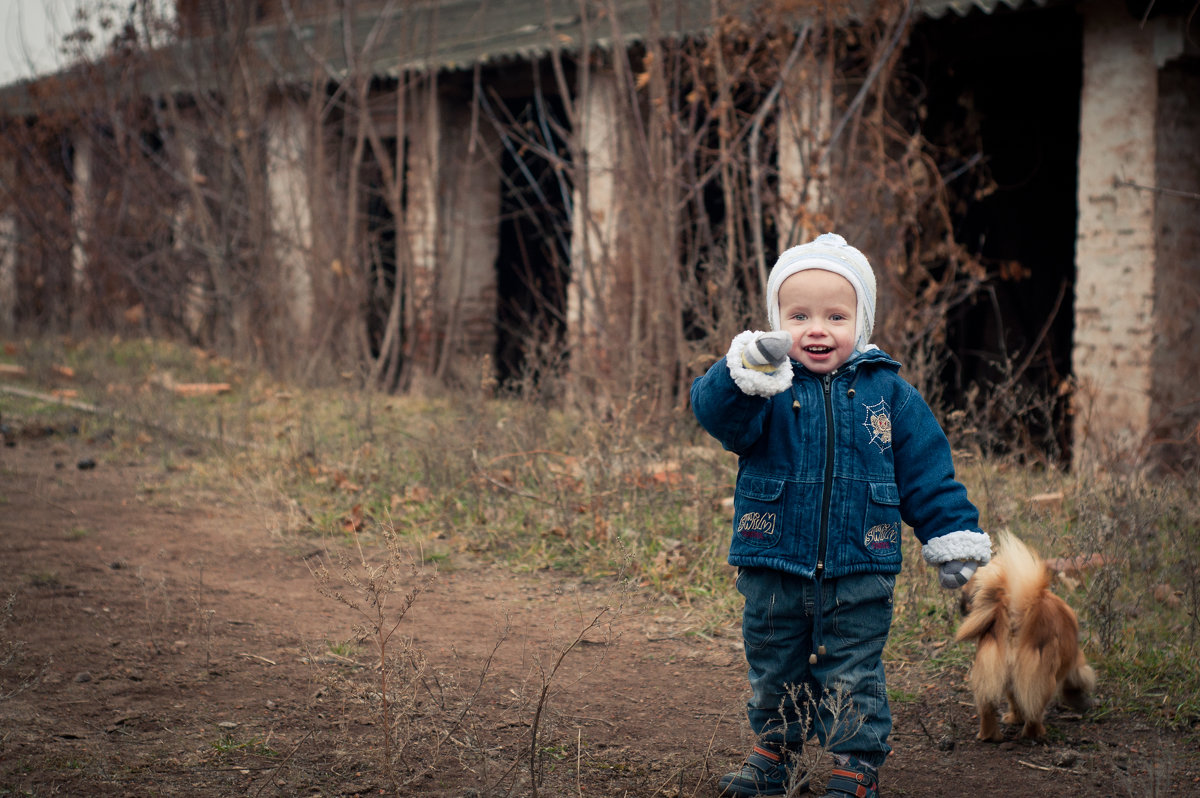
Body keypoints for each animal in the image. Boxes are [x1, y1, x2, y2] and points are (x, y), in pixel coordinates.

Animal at [955, 532, 1099, 739]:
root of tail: (1016, 616)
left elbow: (1015, 700)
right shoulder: (1074, 661)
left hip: (989, 673)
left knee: (988, 707)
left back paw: (990, 735)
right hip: (1042, 680)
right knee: (1034, 712)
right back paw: (1036, 733)